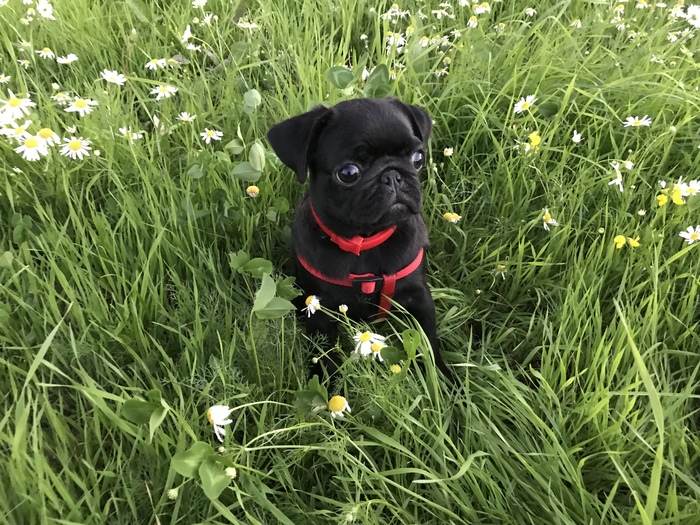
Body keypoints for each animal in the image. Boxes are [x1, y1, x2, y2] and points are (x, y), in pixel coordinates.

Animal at [266, 96, 452, 380]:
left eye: (418, 158)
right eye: (348, 173)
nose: (393, 175)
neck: (365, 241)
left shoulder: (418, 298)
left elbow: (428, 344)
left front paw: (443, 382)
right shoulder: (319, 310)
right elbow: (325, 357)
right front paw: (326, 388)